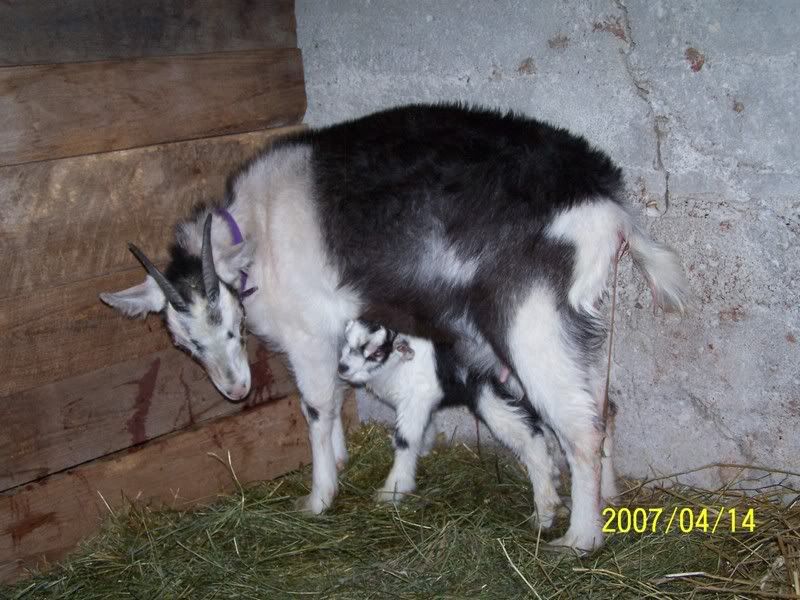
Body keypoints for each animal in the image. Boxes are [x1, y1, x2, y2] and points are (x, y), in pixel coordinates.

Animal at [101, 103, 688, 552]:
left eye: (226, 324)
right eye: (182, 341)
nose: (235, 390)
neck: (255, 234)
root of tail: (609, 209)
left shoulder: (308, 334)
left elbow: (317, 407)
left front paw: (319, 497)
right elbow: (338, 396)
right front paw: (342, 460)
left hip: (531, 321)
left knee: (580, 427)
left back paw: (581, 539)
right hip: (576, 321)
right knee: (604, 405)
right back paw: (609, 502)